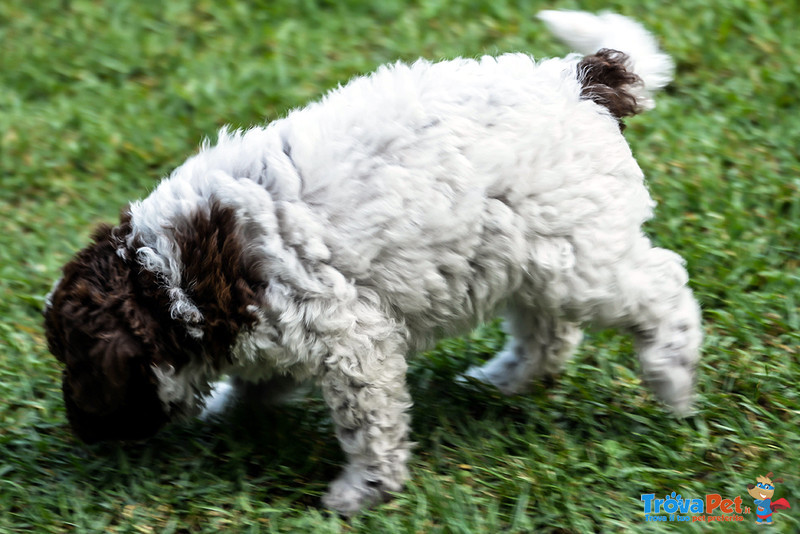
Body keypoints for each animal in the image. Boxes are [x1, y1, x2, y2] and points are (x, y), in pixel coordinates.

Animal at [43, 11, 700, 516]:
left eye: (76, 365)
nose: (81, 432)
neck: (167, 277)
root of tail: (583, 81)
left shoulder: (348, 333)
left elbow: (368, 423)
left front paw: (362, 492)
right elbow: (263, 380)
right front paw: (229, 410)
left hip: (582, 254)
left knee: (660, 290)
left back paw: (672, 380)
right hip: (528, 253)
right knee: (549, 331)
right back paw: (503, 379)